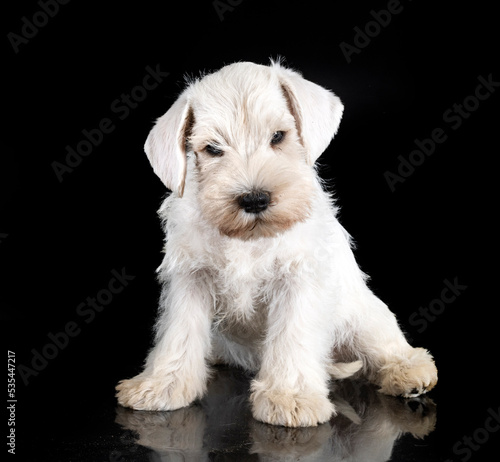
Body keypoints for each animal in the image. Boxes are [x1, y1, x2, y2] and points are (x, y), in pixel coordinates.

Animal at [117, 60, 438, 426]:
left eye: (278, 137)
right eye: (213, 148)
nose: (254, 199)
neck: (249, 238)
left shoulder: (297, 280)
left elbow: (291, 336)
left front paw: (291, 396)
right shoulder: (191, 279)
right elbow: (178, 334)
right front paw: (161, 385)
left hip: (363, 317)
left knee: (387, 345)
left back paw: (409, 372)